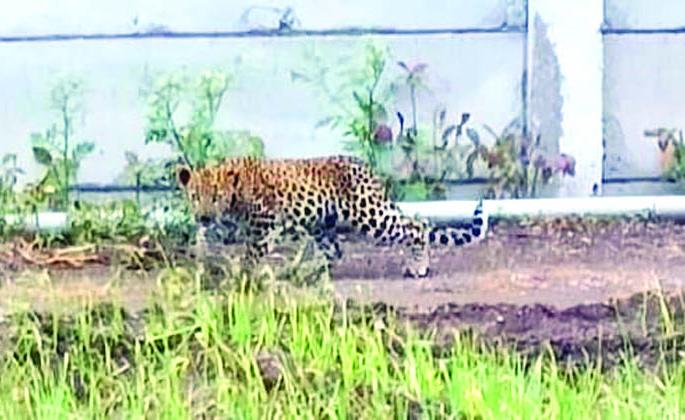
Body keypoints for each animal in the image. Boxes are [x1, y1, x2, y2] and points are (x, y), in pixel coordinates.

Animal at [176, 155, 487, 278]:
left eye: (215, 196)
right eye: (195, 196)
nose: (203, 217)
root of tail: (369, 170)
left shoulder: (264, 222)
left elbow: (252, 252)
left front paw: (242, 276)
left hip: (370, 214)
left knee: (417, 225)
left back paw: (418, 267)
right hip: (322, 223)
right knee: (334, 251)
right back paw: (303, 271)